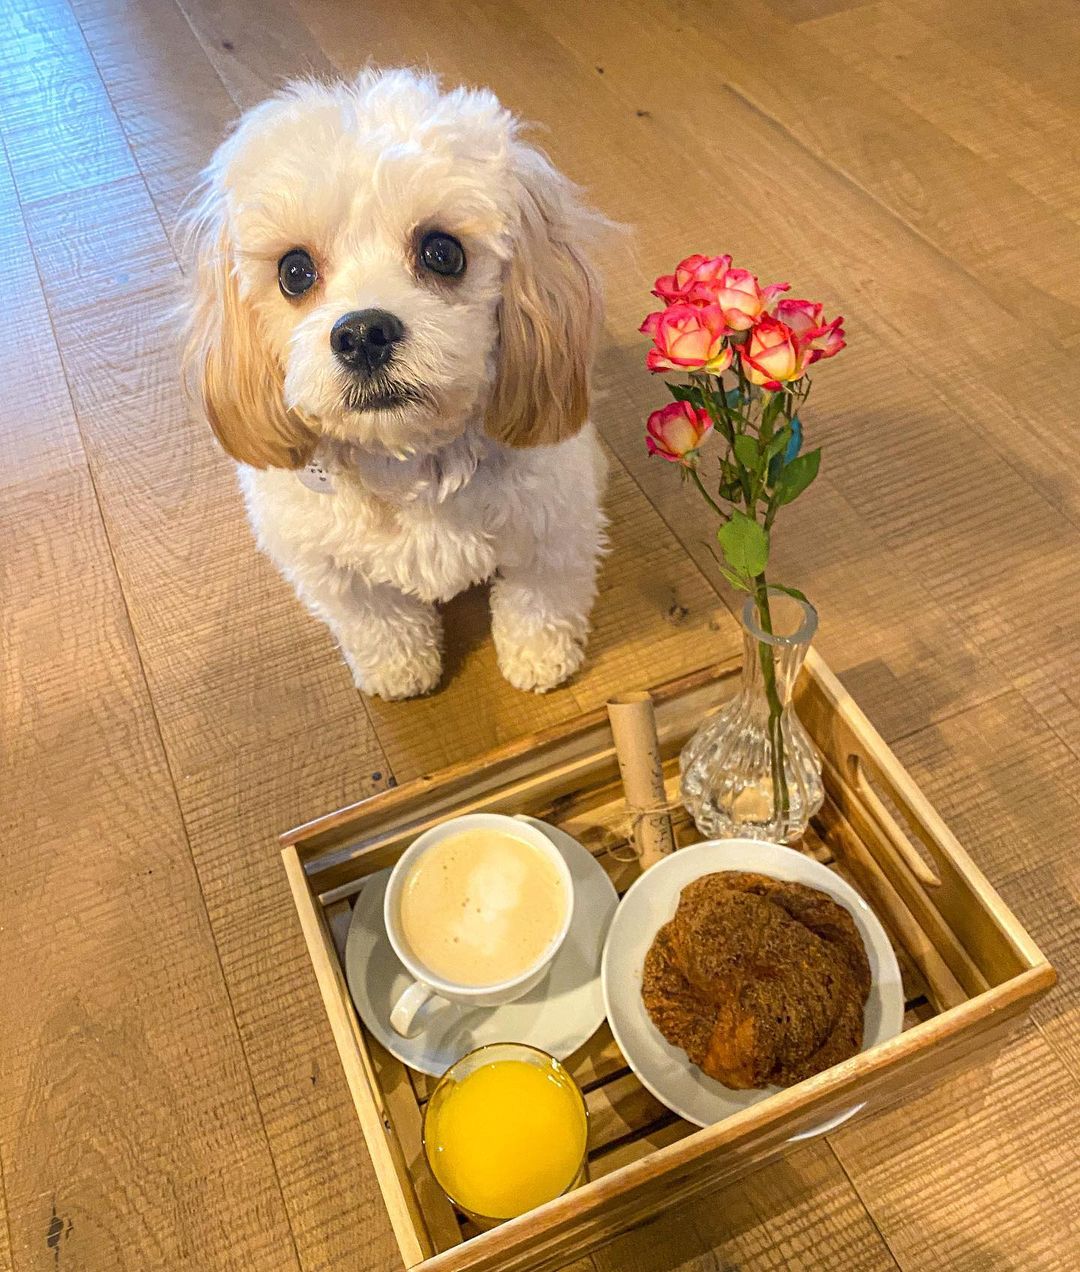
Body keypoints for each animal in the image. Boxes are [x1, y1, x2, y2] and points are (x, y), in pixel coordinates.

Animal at [181, 69, 608, 700]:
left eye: (442, 252)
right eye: (294, 271)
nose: (363, 334)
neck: (406, 460)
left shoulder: (553, 525)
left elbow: (539, 600)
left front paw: (540, 656)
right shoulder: (332, 569)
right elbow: (378, 621)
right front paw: (400, 670)